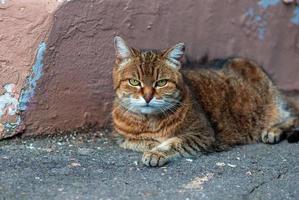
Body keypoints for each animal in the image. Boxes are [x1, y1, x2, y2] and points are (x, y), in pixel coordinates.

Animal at [111, 36, 298, 167]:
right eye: (134, 82)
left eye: (161, 83)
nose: (148, 97)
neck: (149, 121)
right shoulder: (121, 138)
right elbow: (137, 142)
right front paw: (151, 144)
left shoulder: (202, 134)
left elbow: (173, 143)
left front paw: (156, 153)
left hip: (274, 108)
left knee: (293, 117)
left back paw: (273, 130)